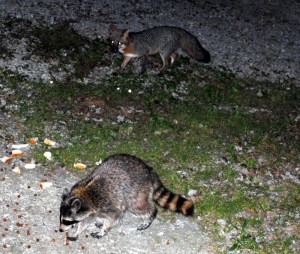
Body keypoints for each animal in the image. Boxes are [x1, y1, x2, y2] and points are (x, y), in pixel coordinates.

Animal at [59, 154, 195, 241]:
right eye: (62, 219)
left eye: (67, 220)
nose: (60, 230)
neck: (84, 195)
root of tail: (149, 170)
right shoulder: (89, 211)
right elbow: (85, 221)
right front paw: (78, 231)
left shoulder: (107, 204)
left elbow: (114, 217)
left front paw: (103, 230)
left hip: (136, 192)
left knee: (139, 206)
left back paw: (150, 215)